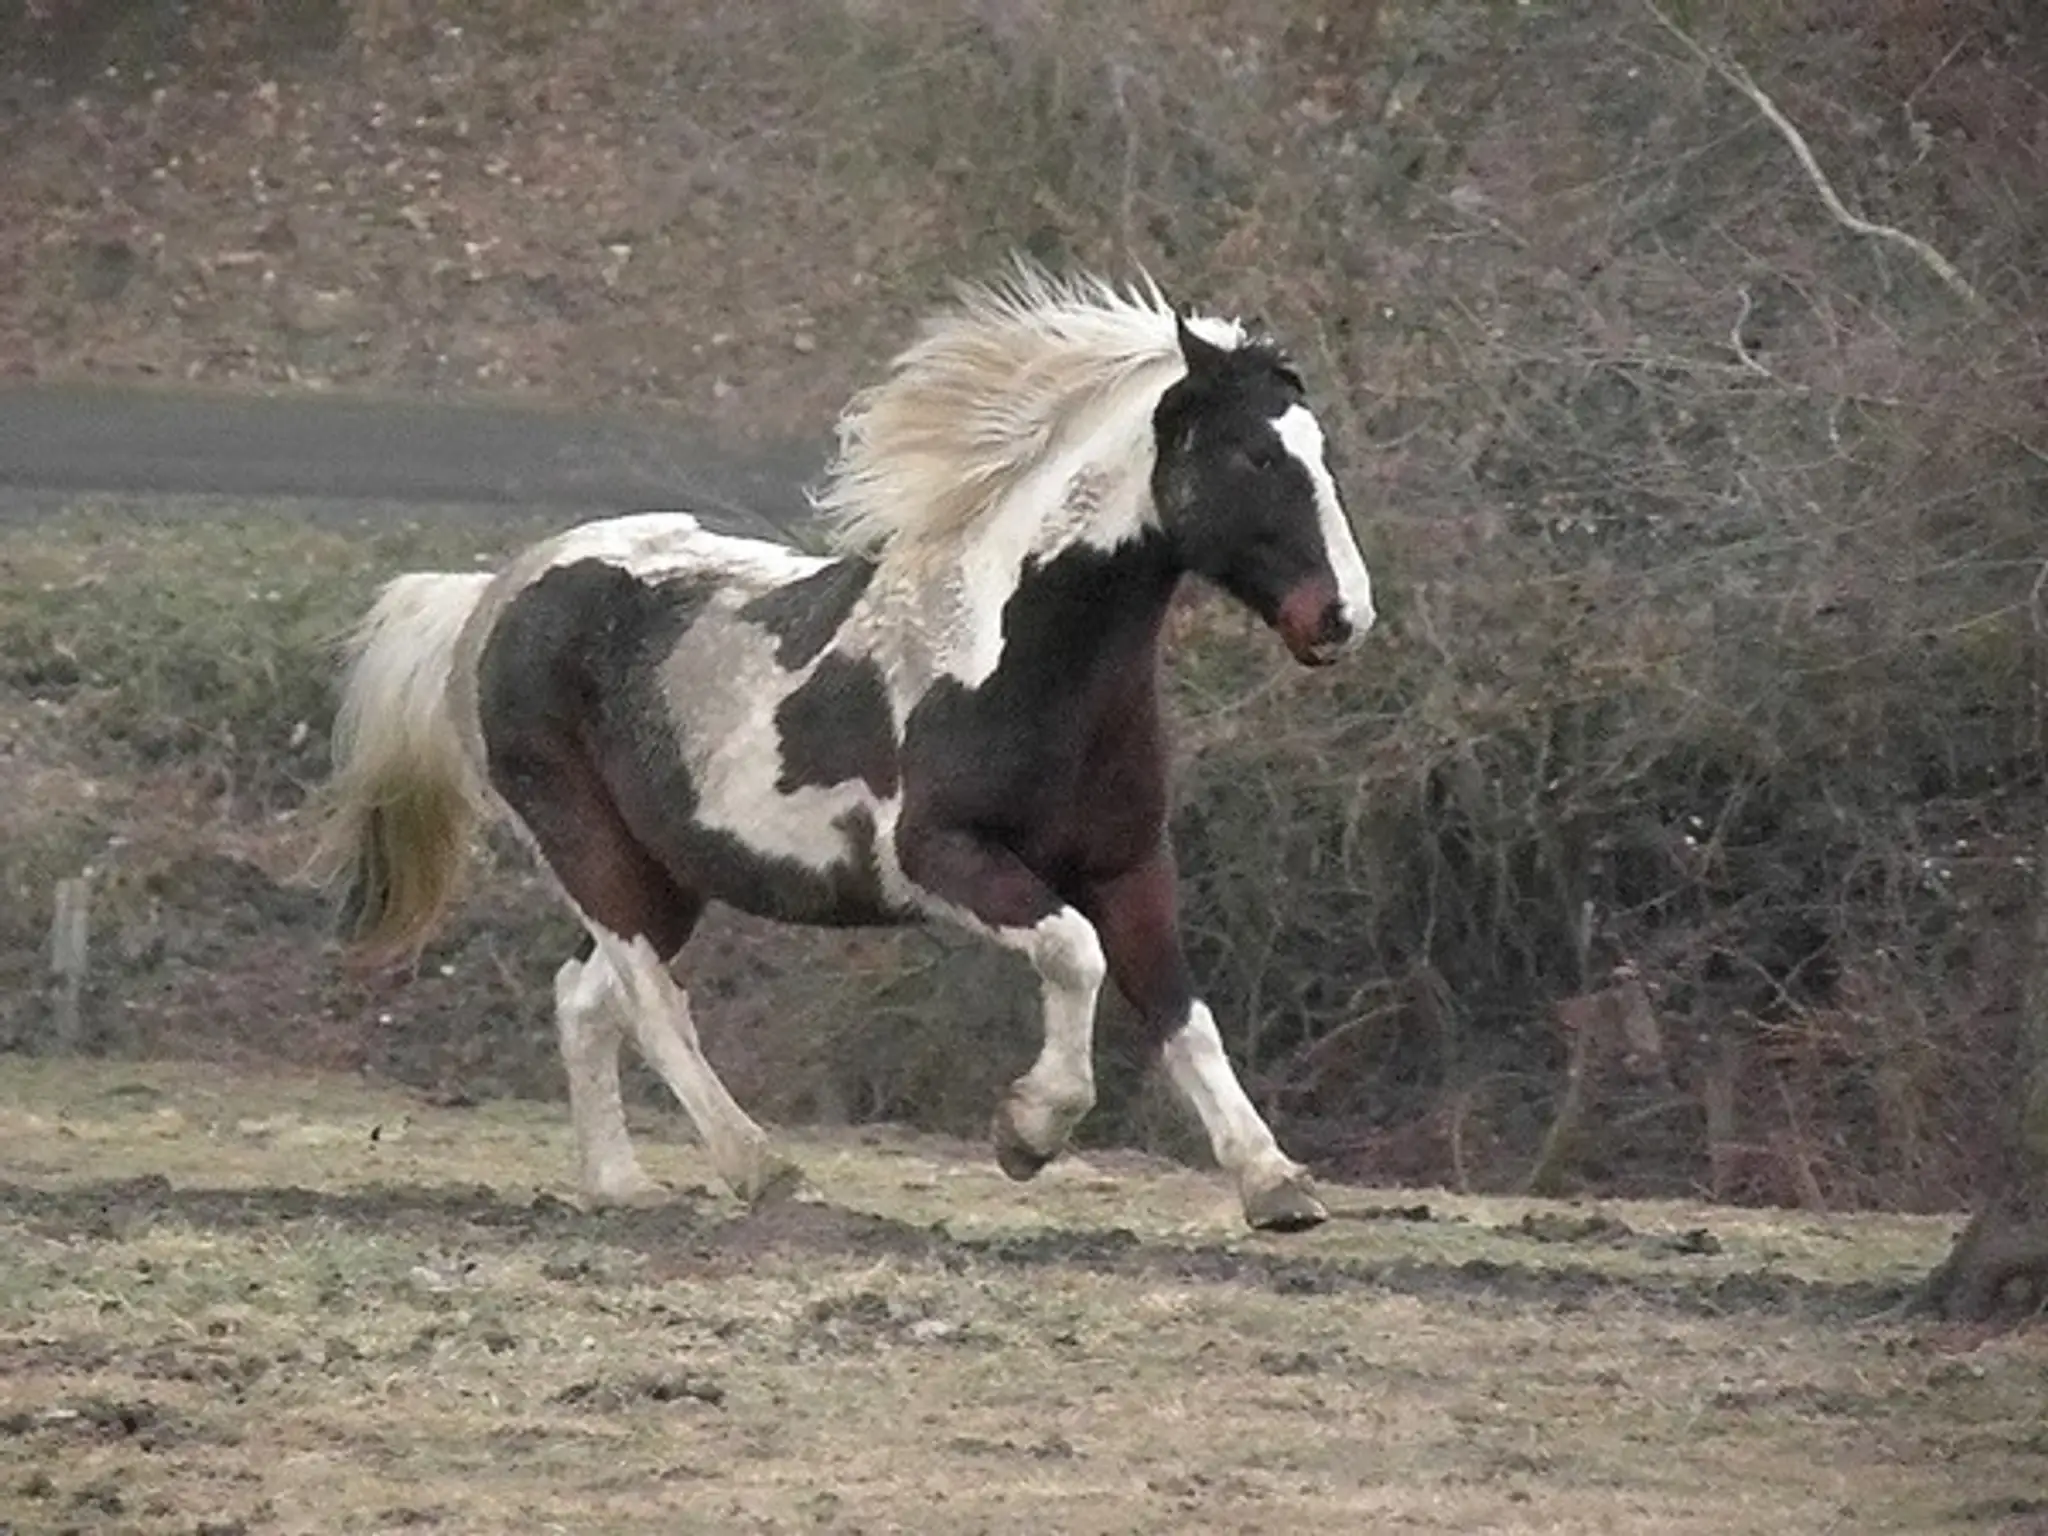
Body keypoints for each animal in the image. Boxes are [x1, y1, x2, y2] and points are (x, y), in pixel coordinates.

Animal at [313, 266, 1374, 1232]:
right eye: (1251, 455)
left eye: (1319, 454)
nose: (1343, 617)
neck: (1016, 657)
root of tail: (491, 597)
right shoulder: (940, 857)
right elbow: (1074, 954)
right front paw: (1028, 1132)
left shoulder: (1131, 865)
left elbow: (1183, 1015)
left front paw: (1276, 1186)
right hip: (587, 847)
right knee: (651, 1003)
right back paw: (758, 1168)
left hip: (667, 876)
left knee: (586, 997)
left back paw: (620, 1186)